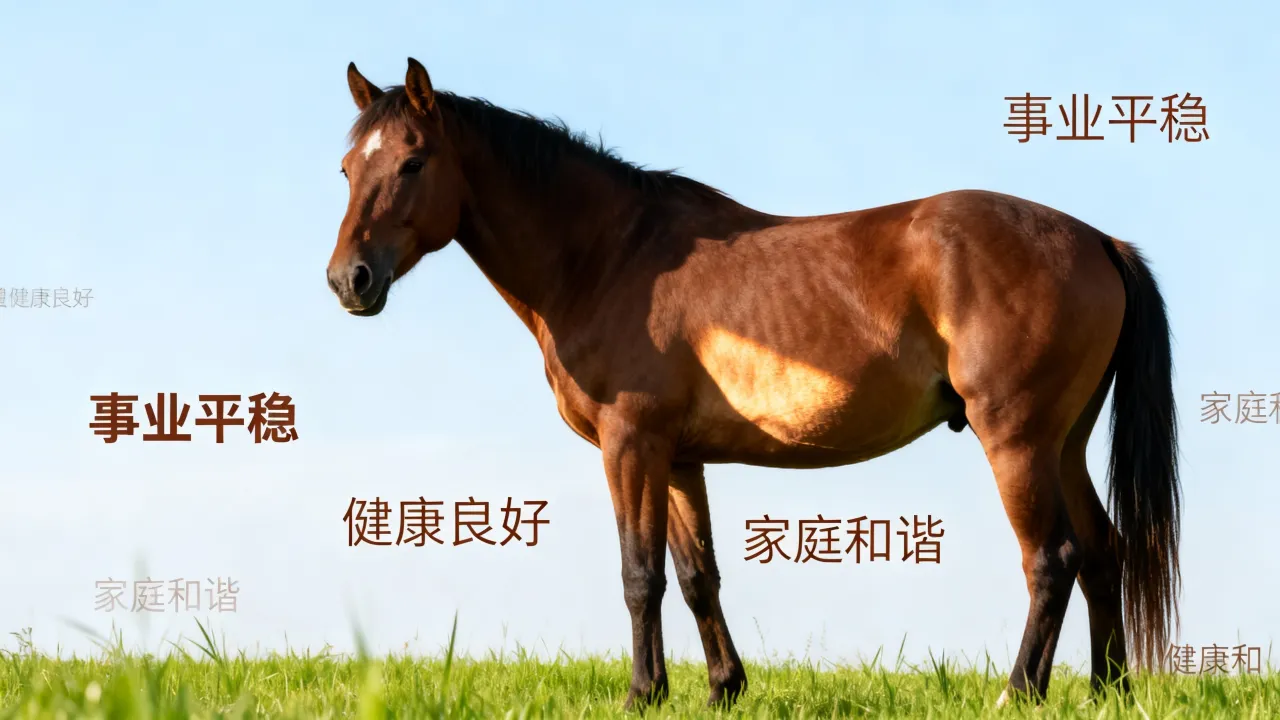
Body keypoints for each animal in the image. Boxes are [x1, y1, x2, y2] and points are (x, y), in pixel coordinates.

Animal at [326, 58, 1180, 710]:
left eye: (413, 162)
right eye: (347, 167)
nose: (349, 280)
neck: (608, 257)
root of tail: (1096, 240)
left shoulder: (630, 445)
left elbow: (639, 575)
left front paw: (641, 694)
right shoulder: (677, 458)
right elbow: (697, 575)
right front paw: (721, 689)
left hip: (1018, 440)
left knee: (1053, 558)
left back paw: (1019, 693)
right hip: (1064, 443)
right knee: (1102, 552)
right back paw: (1108, 693)